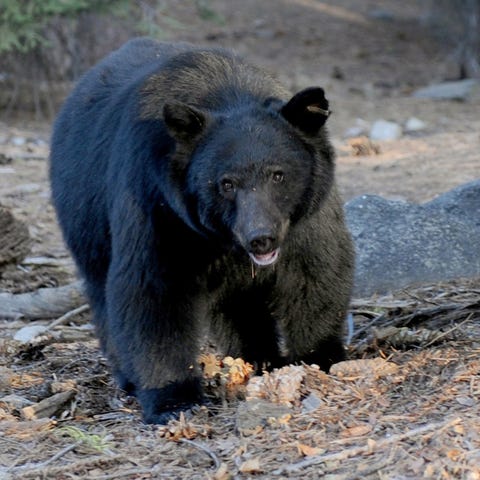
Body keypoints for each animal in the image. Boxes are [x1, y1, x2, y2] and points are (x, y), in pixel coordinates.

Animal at [50, 38, 354, 424]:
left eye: (278, 174)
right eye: (226, 183)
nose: (261, 238)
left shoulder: (306, 217)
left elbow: (315, 272)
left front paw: (320, 358)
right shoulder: (159, 205)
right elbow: (154, 291)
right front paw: (174, 399)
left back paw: (257, 357)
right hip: (85, 218)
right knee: (102, 292)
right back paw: (129, 377)